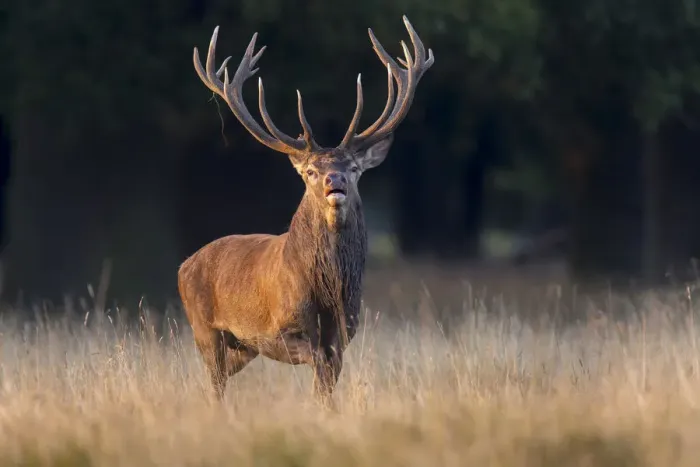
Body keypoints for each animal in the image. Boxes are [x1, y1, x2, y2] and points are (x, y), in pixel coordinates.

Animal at [178, 16, 434, 406]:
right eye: (311, 171)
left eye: (354, 168)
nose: (334, 181)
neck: (328, 292)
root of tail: (184, 265)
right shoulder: (281, 329)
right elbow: (317, 364)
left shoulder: (345, 331)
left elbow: (326, 380)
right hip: (205, 329)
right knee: (215, 382)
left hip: (241, 347)